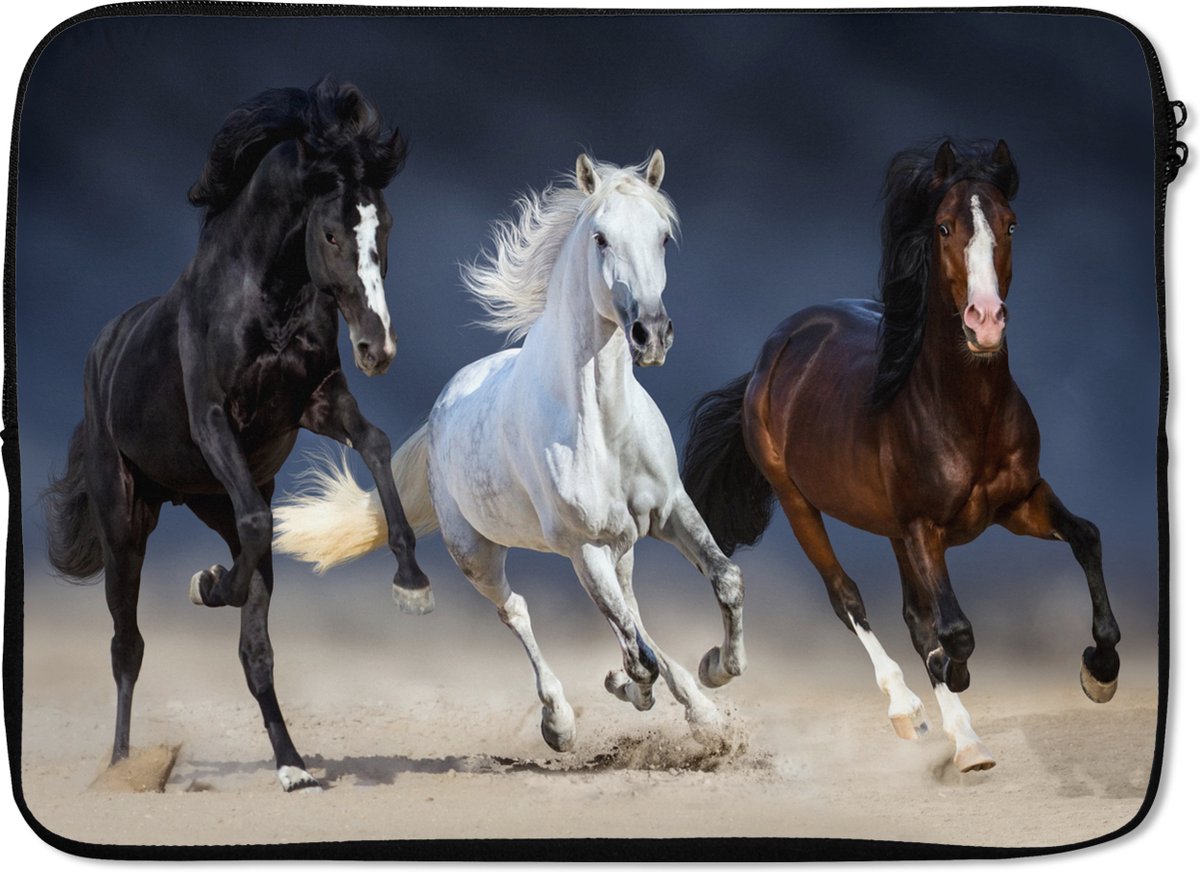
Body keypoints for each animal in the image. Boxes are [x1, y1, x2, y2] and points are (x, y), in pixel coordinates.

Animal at [43, 78, 432, 792]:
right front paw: (208, 584)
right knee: (127, 645)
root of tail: (105, 348)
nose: (378, 348)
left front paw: (411, 581)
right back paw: (122, 768)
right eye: (330, 232)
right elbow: (256, 522)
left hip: (205, 500)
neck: (263, 298)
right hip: (125, 523)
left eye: (385, 228)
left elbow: (377, 445)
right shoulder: (214, 420)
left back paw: (292, 766)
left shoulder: (316, 401)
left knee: (255, 647)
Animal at [273, 152, 746, 751]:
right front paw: (635, 689)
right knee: (520, 611)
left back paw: (693, 707)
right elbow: (636, 650)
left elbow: (723, 580)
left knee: (632, 612)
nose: (651, 334)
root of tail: (439, 412)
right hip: (478, 554)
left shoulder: (669, 510)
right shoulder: (583, 547)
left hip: (621, 546)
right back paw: (560, 722)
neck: (602, 426)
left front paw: (716, 671)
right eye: (600, 238)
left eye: (662, 236)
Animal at [681, 140, 1120, 772]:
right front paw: (955, 679)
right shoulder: (923, 528)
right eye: (943, 227)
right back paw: (916, 714)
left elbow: (1086, 538)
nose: (985, 321)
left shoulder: (1020, 503)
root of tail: (774, 350)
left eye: (1011, 223)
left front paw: (1100, 670)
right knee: (849, 599)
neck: (964, 411)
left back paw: (961, 733)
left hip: (889, 528)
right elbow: (955, 629)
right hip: (800, 505)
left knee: (915, 617)